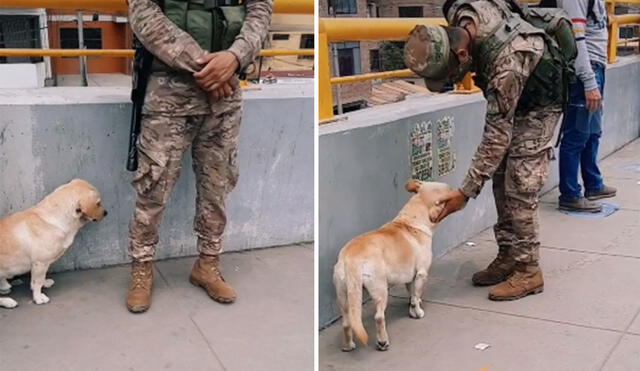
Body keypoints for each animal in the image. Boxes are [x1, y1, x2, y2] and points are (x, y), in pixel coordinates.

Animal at [0, 179, 106, 310]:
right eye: (98, 203)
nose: (106, 213)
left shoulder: (42, 265)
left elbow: (40, 279)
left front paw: (45, 283)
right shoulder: (40, 263)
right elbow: (37, 282)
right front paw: (38, 297)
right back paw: (8, 301)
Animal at [336, 180, 450, 352]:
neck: (411, 220)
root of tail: (350, 257)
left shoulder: (410, 277)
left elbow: (412, 295)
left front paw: (412, 310)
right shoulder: (421, 274)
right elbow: (416, 297)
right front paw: (418, 313)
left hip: (344, 295)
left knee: (346, 322)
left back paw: (348, 346)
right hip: (380, 289)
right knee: (379, 317)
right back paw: (383, 342)